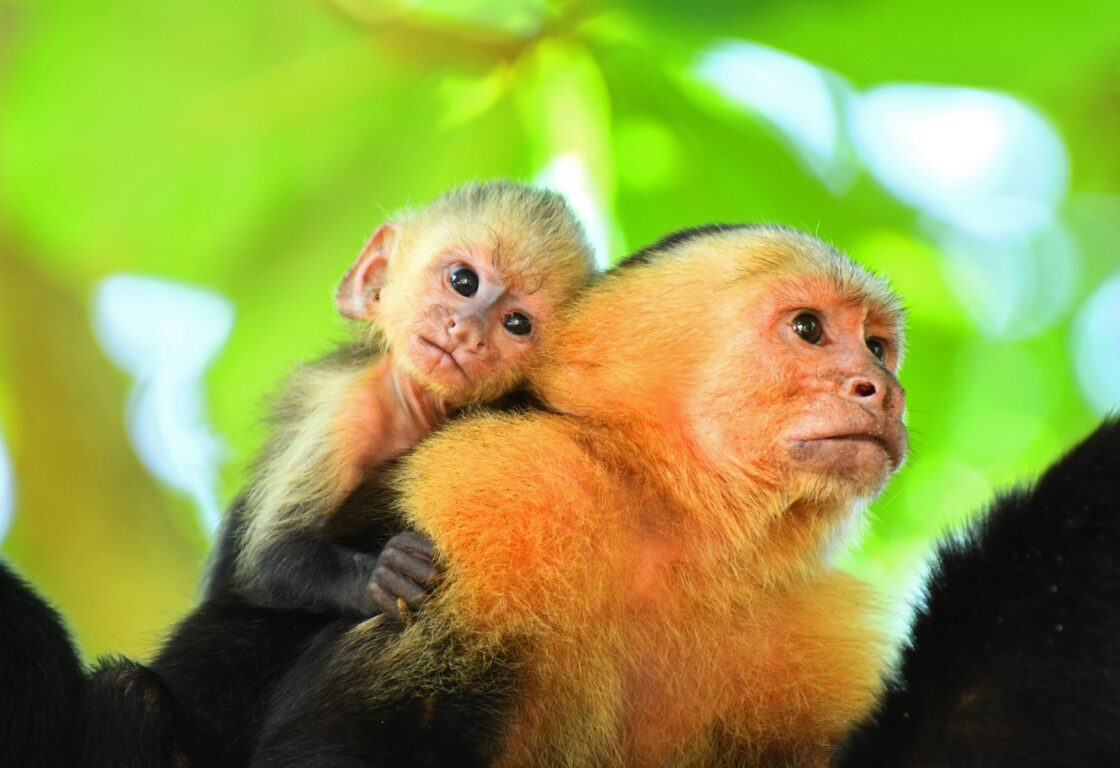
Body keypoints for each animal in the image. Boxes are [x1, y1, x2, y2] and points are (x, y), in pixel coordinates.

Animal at [247, 223, 910, 768]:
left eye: (876, 347)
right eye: (808, 328)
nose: (882, 390)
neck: (673, 525)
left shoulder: (808, 622)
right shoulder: (498, 483)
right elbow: (349, 737)